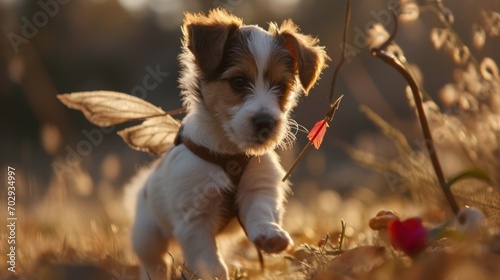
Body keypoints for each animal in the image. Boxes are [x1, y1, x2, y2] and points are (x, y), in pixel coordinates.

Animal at [131, 8, 328, 280]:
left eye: (281, 87)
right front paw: (215, 273)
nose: (265, 122)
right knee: (154, 262)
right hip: (147, 235)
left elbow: (260, 211)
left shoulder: (259, 187)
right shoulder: (195, 216)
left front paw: (270, 234)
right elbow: (208, 260)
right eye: (238, 81)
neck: (230, 153)